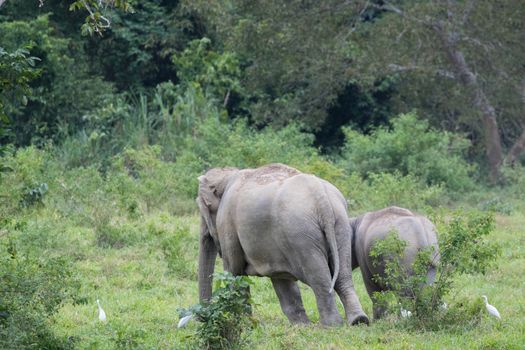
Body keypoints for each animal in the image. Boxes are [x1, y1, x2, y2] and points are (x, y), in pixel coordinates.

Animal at [196, 163, 368, 326]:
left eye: (203, 208)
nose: (202, 318)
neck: (228, 176)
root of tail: (321, 197)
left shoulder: (227, 223)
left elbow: (234, 272)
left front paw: (242, 323)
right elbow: (281, 280)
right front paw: (302, 326)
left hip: (300, 234)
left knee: (318, 276)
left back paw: (332, 325)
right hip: (340, 225)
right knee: (343, 276)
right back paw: (358, 320)